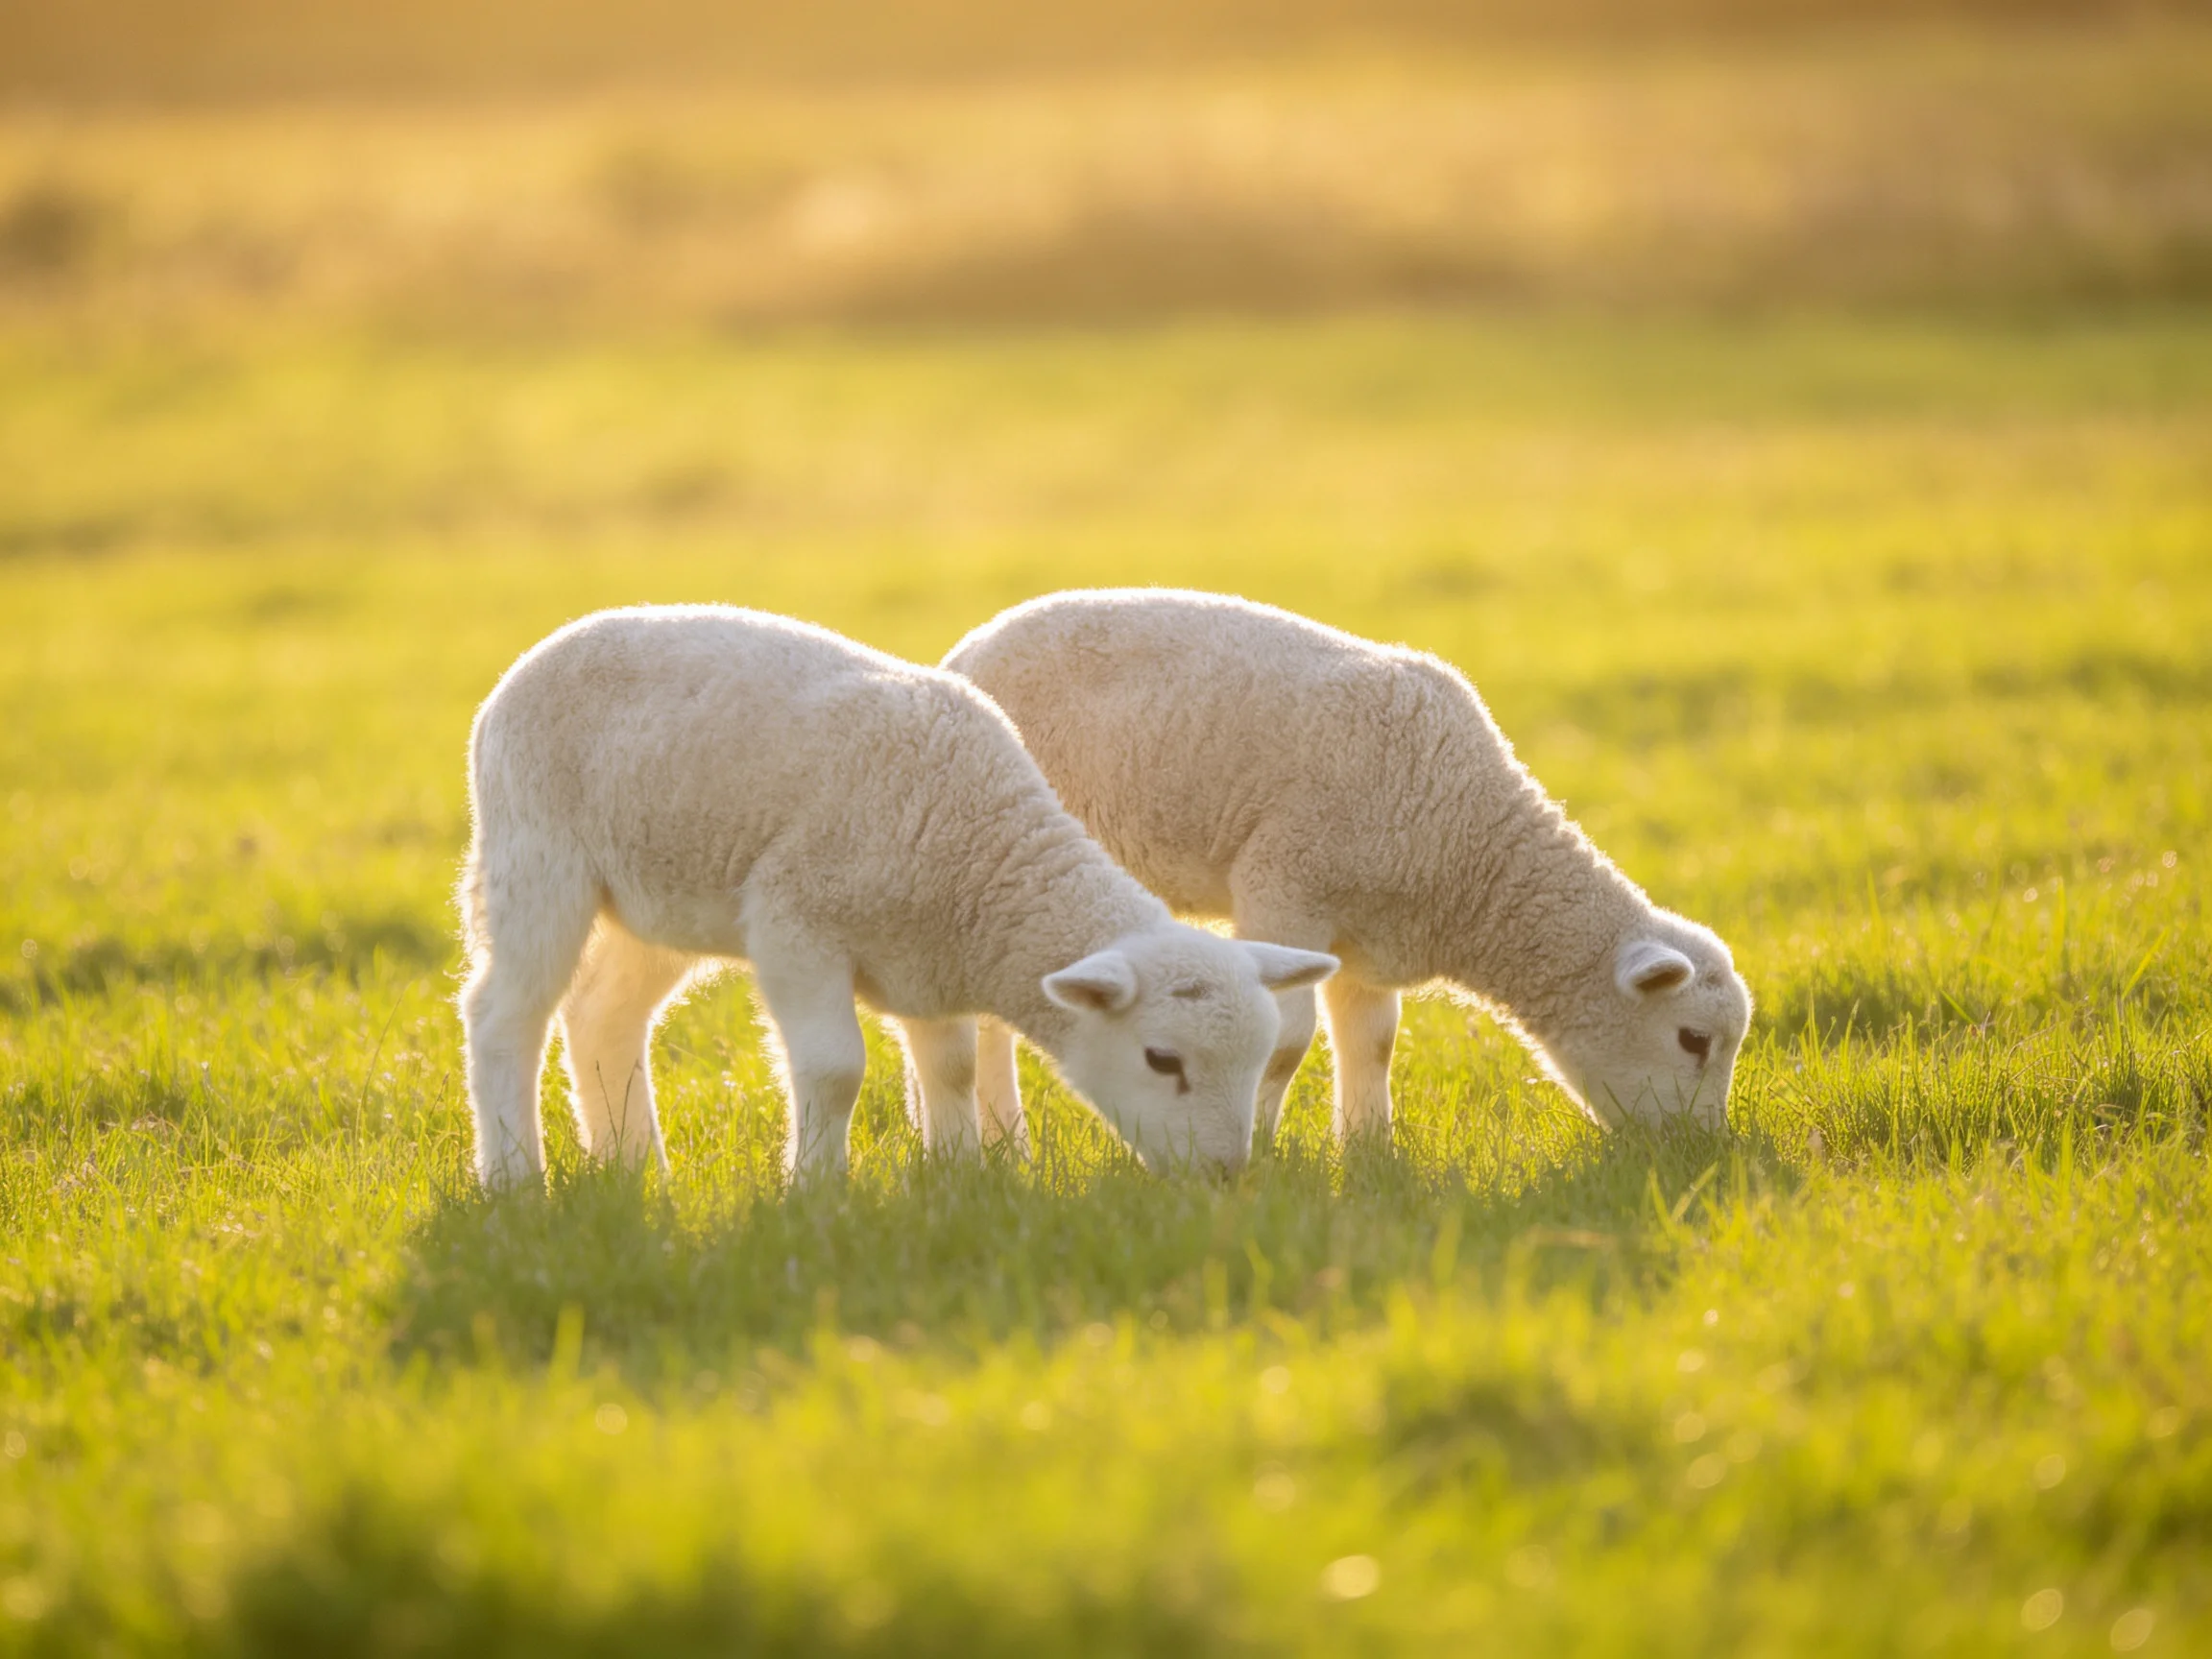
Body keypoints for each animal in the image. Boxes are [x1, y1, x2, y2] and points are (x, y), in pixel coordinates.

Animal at [456, 604, 1338, 1190]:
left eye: (1261, 1058)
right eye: (1163, 1060)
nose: (1225, 1174)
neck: (981, 857)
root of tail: (543, 650)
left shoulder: (930, 957)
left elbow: (951, 1067)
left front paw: (958, 1175)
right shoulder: (793, 923)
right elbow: (835, 1071)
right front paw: (816, 1192)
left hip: (659, 899)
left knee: (602, 1014)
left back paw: (638, 1168)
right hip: (538, 855)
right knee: (504, 1015)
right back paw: (515, 1177)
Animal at [944, 589, 1752, 1146]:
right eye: (1694, 1039)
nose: (1701, 1151)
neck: (1468, 845)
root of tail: (964, 651)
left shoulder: (1368, 938)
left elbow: (1374, 1042)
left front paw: (1368, 1149)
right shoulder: (1283, 885)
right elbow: (1288, 1041)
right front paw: (1264, 1145)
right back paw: (1005, 1142)